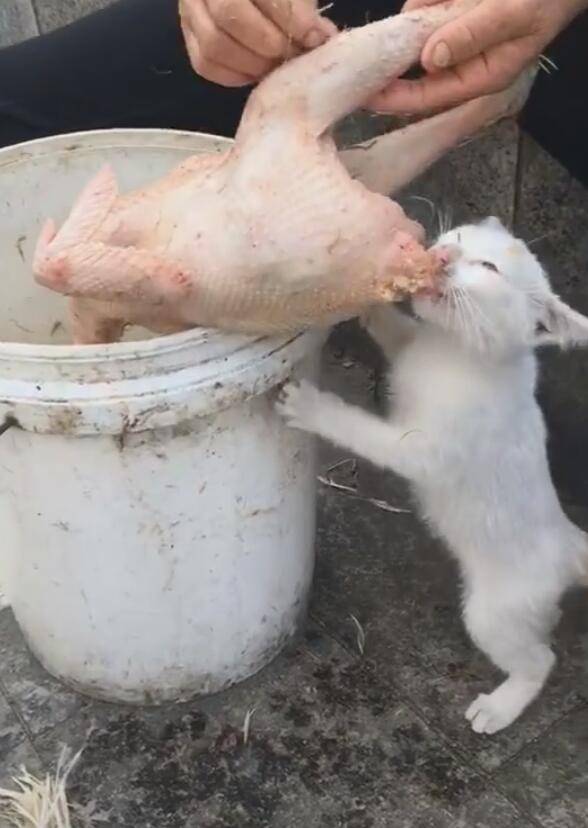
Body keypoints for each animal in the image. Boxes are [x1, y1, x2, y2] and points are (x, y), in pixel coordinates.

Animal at [277, 216, 588, 734]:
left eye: (488, 267)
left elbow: (361, 430)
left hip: (495, 611)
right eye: (458, 238)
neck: (455, 350)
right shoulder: (411, 345)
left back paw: (499, 708)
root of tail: (568, 542)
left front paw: (313, 407)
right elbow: (396, 329)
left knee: (540, 659)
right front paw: (370, 292)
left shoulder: (423, 449)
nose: (442, 255)